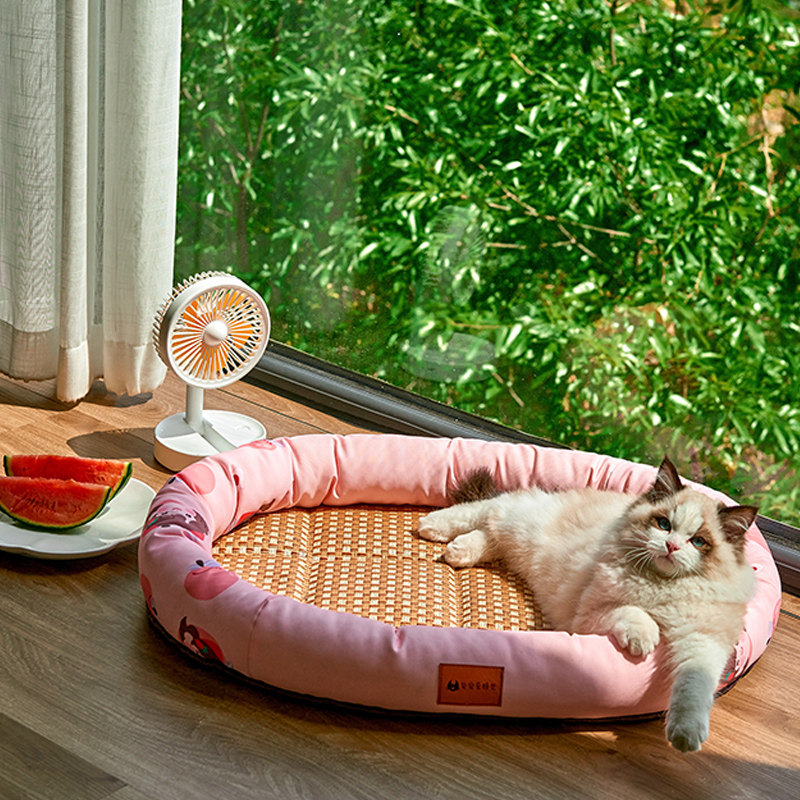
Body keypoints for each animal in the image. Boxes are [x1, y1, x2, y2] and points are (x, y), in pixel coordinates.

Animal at [416, 456, 758, 753]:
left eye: (698, 542)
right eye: (664, 524)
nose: (671, 547)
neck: (661, 586)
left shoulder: (702, 641)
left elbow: (694, 689)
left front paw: (685, 738)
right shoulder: (592, 613)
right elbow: (634, 613)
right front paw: (644, 641)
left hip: (517, 540)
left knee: (490, 535)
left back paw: (458, 552)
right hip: (519, 521)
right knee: (485, 509)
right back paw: (431, 528)